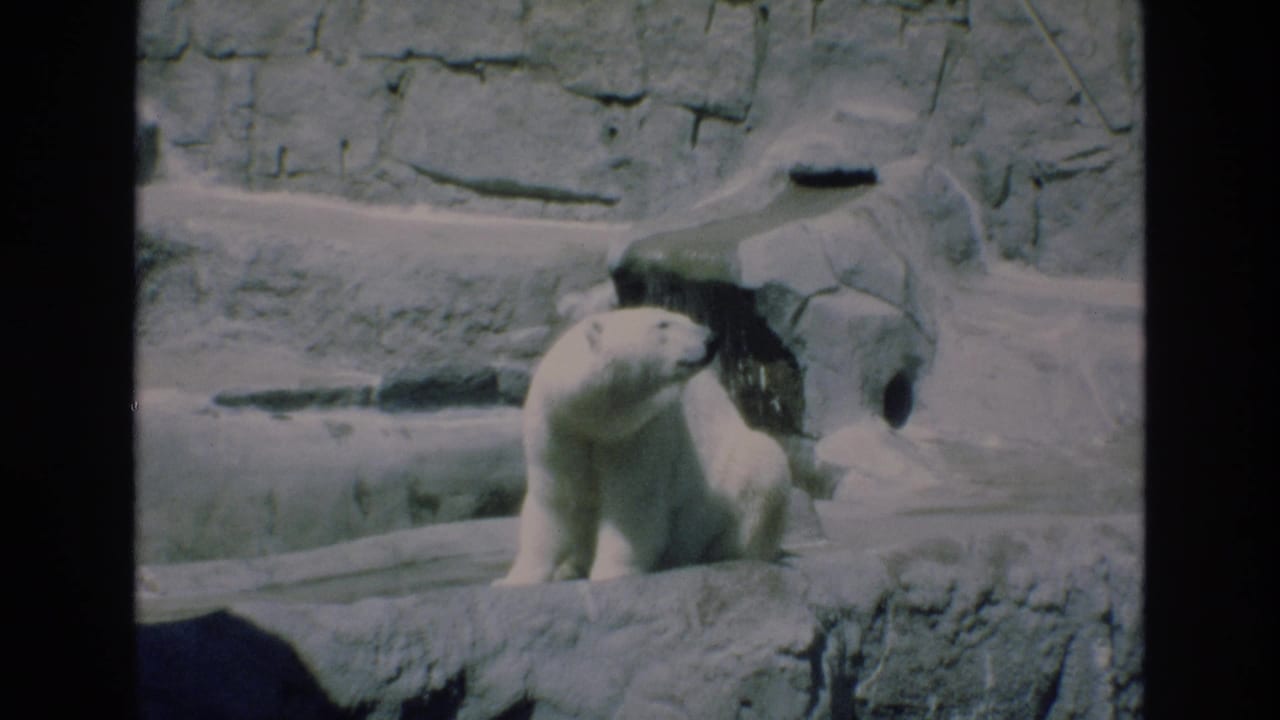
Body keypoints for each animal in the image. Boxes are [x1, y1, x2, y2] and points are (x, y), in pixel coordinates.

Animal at [496, 307, 791, 585]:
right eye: (663, 323)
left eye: (685, 318)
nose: (711, 339)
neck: (594, 418)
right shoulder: (557, 426)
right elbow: (554, 499)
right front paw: (514, 579)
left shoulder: (641, 431)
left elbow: (632, 500)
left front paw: (611, 572)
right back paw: (570, 567)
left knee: (761, 468)